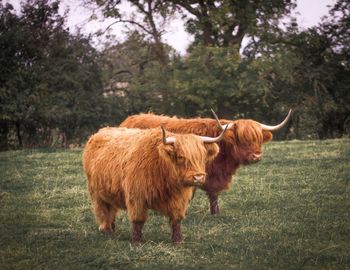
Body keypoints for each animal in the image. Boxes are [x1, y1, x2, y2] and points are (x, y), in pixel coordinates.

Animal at [82, 126, 227, 245]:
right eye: (181, 156)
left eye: (202, 157)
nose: (198, 177)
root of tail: (97, 133)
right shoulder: (136, 197)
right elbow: (138, 220)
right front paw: (137, 242)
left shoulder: (179, 199)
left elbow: (176, 220)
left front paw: (178, 241)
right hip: (96, 193)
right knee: (103, 211)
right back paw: (107, 232)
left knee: (111, 210)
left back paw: (112, 229)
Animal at [119, 109, 292, 215]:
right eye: (242, 139)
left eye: (258, 139)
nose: (256, 156)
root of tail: (129, 119)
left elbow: (214, 195)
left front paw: (216, 212)